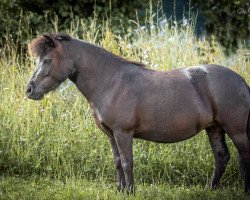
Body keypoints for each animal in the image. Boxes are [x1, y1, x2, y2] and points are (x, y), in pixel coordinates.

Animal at [26, 33, 250, 194]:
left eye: (47, 60)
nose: (29, 90)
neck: (111, 82)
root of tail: (241, 81)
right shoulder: (111, 135)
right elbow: (117, 162)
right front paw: (120, 190)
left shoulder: (123, 133)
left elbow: (127, 162)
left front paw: (130, 191)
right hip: (214, 128)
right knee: (221, 157)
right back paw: (209, 188)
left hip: (236, 130)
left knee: (244, 155)